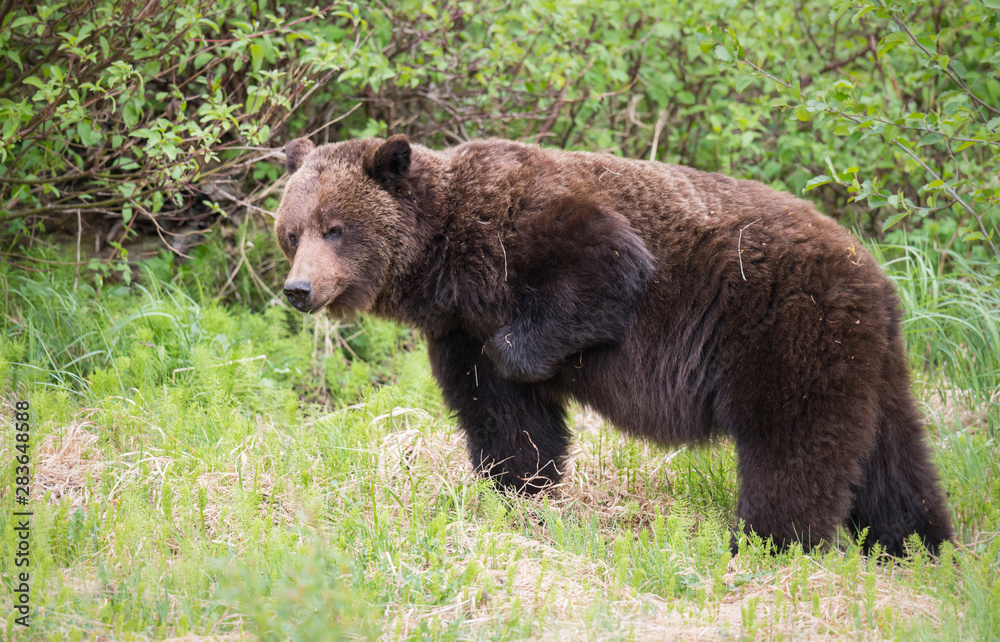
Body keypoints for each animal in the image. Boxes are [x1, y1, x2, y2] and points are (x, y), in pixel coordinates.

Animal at [272, 135, 952, 556]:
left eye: (337, 228)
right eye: (292, 230)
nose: (298, 289)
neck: (447, 266)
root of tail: (874, 273)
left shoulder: (525, 231)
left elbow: (607, 270)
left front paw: (524, 356)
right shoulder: (457, 328)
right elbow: (505, 421)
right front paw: (517, 495)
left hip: (786, 333)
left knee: (793, 446)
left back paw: (764, 544)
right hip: (867, 359)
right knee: (892, 458)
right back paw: (918, 544)